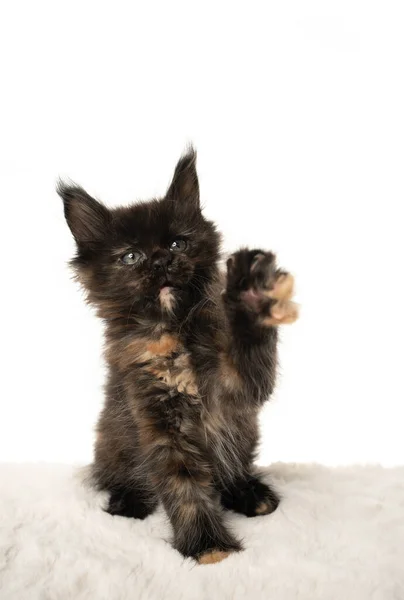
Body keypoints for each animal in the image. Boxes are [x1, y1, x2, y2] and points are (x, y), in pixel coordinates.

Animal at [60, 148, 300, 564]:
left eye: (178, 245)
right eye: (131, 256)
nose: (160, 261)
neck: (173, 333)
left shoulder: (236, 390)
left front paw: (252, 294)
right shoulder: (158, 421)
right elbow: (183, 485)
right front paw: (208, 547)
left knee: (233, 470)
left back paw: (249, 493)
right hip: (112, 446)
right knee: (114, 477)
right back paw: (127, 501)